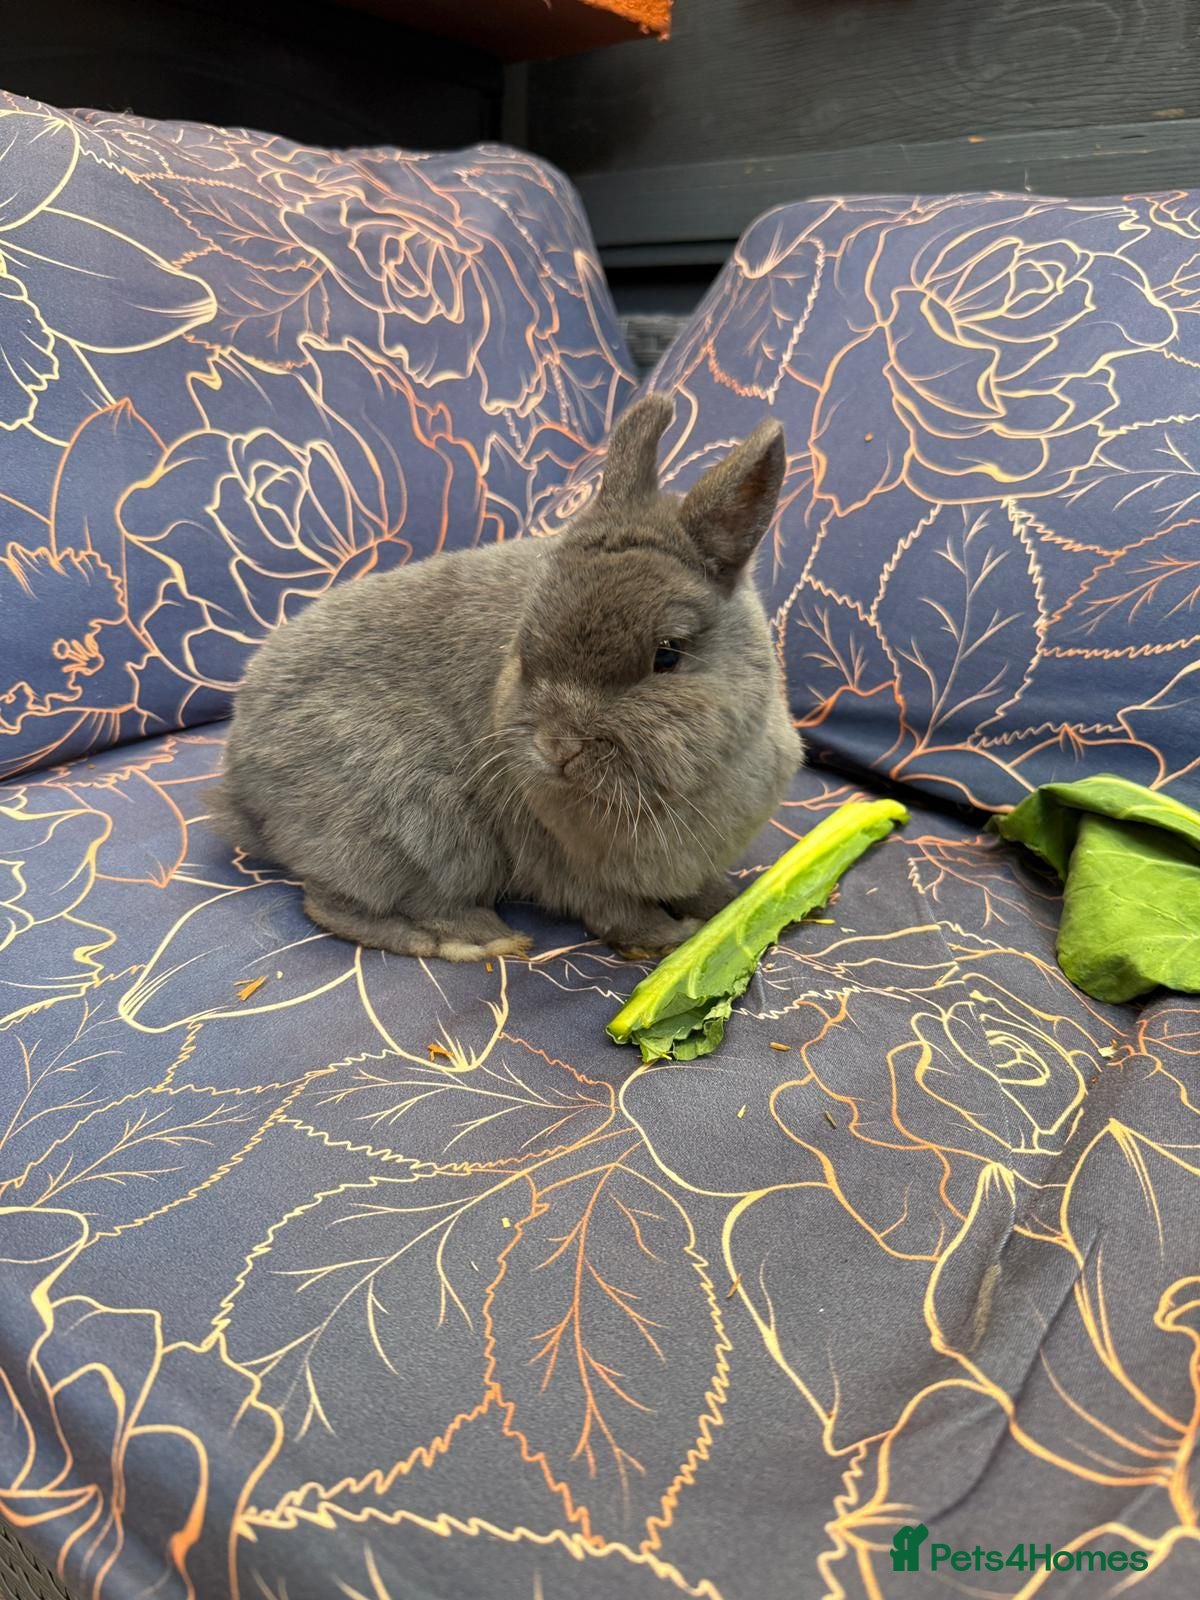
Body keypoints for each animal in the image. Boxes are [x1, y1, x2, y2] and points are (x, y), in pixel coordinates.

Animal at [213, 393, 804, 962]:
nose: (558, 746)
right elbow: (619, 914)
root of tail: (241, 782)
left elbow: (702, 890)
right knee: (336, 904)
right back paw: (475, 939)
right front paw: (670, 939)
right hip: (423, 825)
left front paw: (730, 902)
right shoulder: (576, 869)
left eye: (667, 655)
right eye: (525, 645)